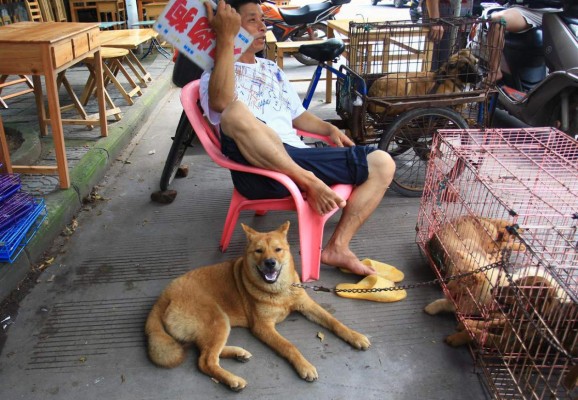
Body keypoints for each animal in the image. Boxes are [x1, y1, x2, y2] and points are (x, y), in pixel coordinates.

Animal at [144, 223, 368, 392]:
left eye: (278, 250)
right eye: (259, 251)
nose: (270, 263)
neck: (280, 291)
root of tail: (165, 296)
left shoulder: (307, 305)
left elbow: (334, 321)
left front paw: (355, 336)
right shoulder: (263, 327)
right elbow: (289, 346)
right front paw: (304, 366)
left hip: (213, 326)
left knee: (204, 352)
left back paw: (237, 353)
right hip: (218, 319)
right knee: (206, 361)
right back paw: (232, 380)